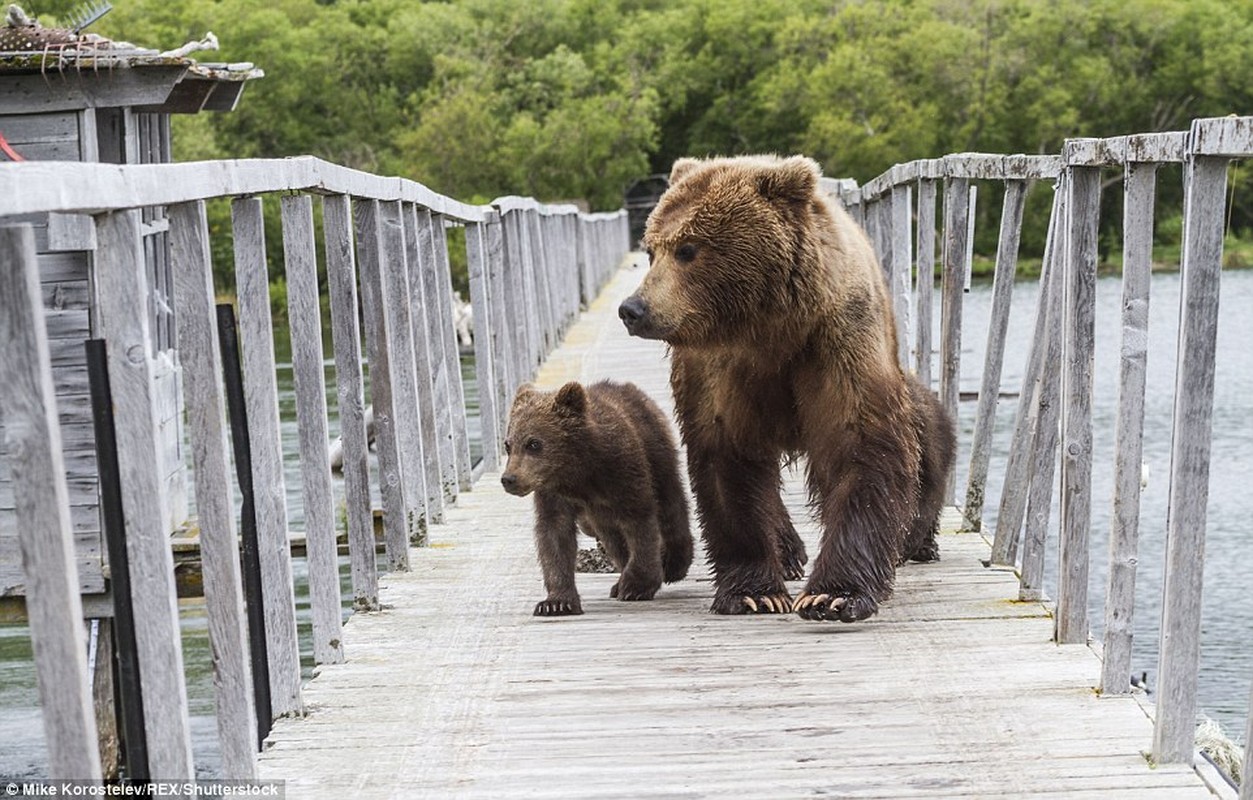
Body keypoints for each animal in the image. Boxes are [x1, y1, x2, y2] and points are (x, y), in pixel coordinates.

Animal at [621, 155, 952, 621]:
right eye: (651, 250)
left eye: (688, 249)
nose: (632, 309)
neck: (772, 327)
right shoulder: (720, 366)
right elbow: (729, 460)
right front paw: (754, 592)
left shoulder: (837, 339)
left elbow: (862, 445)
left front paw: (833, 595)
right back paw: (789, 551)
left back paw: (916, 541)